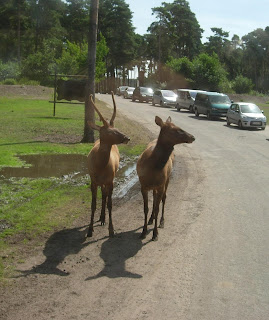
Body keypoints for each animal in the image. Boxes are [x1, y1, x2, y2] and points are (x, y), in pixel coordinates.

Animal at [86, 92, 129, 238]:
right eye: (110, 131)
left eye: (116, 128)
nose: (126, 138)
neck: (100, 167)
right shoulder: (93, 181)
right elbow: (93, 204)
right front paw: (89, 230)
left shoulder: (111, 180)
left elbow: (110, 203)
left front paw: (111, 229)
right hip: (100, 182)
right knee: (103, 194)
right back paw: (101, 218)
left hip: (108, 180)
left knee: (104, 195)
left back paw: (103, 218)